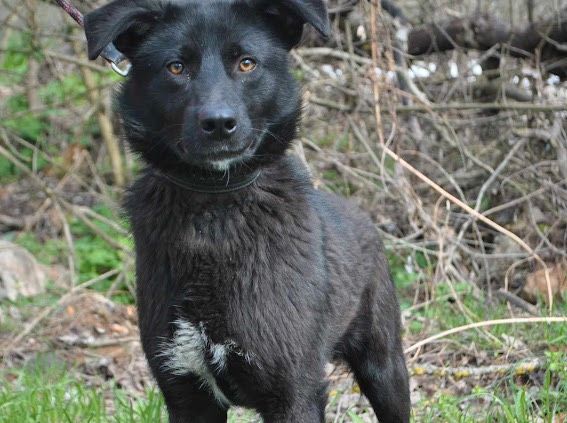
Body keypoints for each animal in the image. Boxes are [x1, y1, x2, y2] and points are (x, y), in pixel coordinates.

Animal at [85, 1, 408, 422]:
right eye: (176, 67)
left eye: (246, 63)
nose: (219, 123)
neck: (214, 208)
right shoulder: (186, 392)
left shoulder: (294, 394)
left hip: (384, 368)